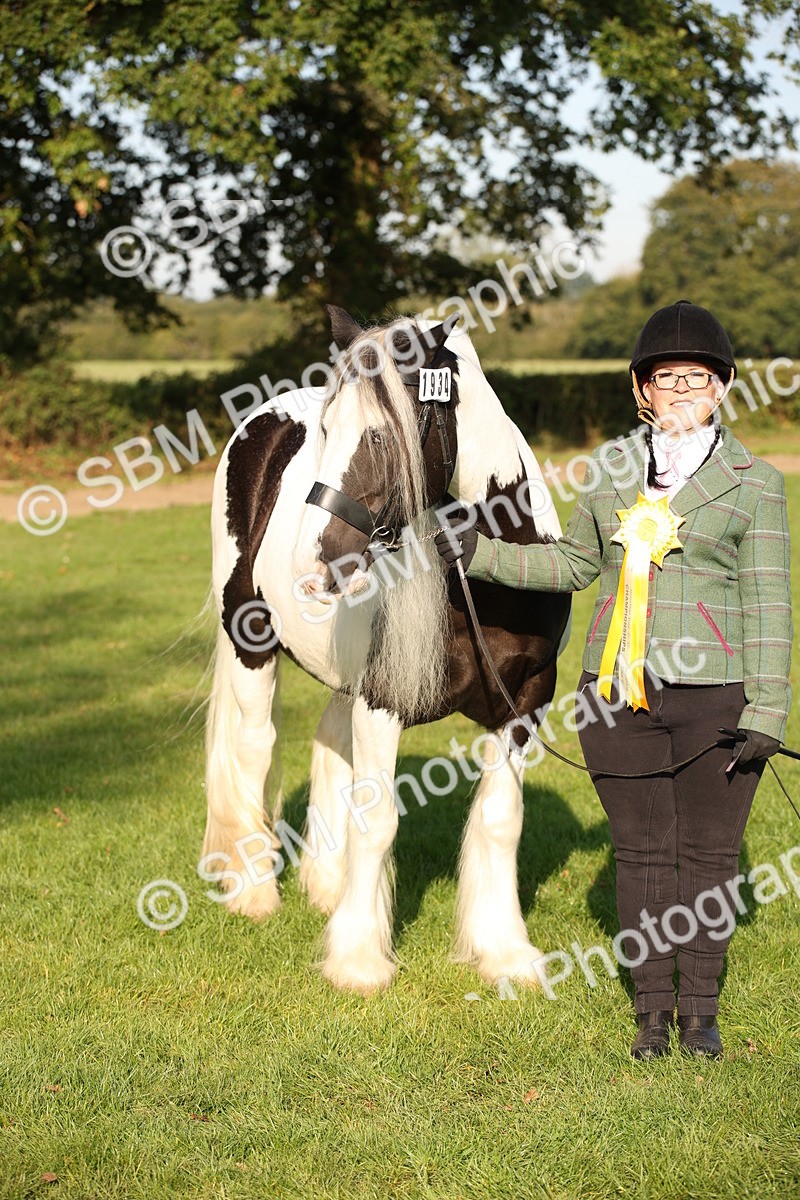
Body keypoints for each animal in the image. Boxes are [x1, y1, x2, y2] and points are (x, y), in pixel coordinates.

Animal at [202, 305, 571, 994]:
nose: (311, 568)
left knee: (328, 741)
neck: (485, 585)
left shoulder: (524, 702)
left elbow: (501, 820)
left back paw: (325, 885)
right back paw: (256, 891)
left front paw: (506, 953)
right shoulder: (384, 701)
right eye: (326, 430)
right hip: (248, 640)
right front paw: (358, 960)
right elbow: (377, 821)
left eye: (380, 438)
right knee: (253, 749)